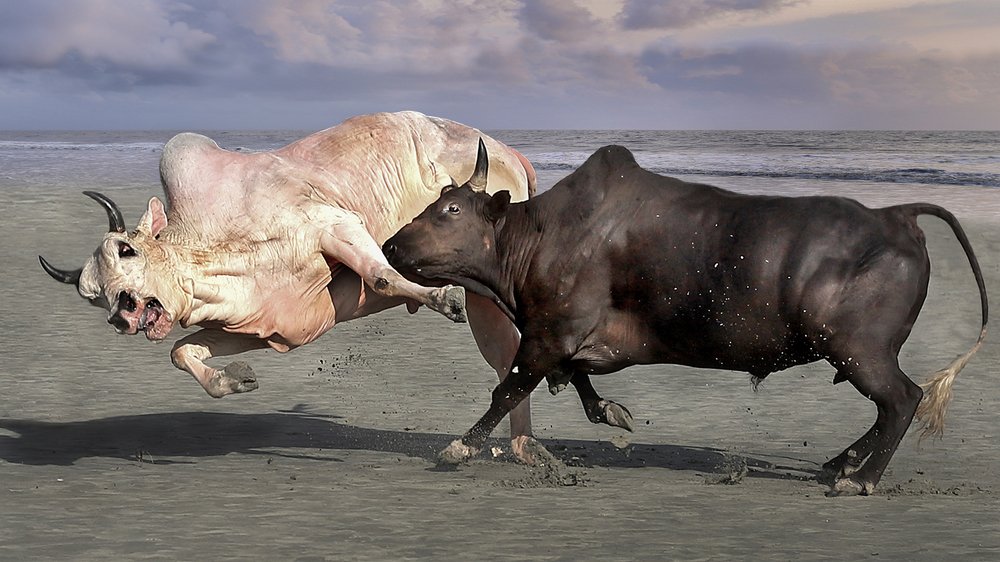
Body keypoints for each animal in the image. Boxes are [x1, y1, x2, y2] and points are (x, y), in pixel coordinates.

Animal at [38, 111, 549, 461]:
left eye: (127, 250)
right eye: (93, 296)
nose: (121, 312)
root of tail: (509, 152)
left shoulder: (333, 223)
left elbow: (381, 275)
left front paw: (440, 297)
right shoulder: (266, 328)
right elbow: (181, 351)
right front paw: (236, 378)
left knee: (509, 358)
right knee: (510, 362)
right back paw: (522, 448)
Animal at [383, 141, 989, 496]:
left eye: (450, 209)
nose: (388, 245)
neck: (538, 236)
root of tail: (897, 215)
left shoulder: (547, 333)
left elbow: (507, 390)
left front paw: (459, 448)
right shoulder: (564, 338)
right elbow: (577, 382)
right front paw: (612, 411)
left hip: (858, 348)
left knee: (902, 400)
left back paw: (860, 479)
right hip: (859, 351)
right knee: (889, 408)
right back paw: (842, 463)